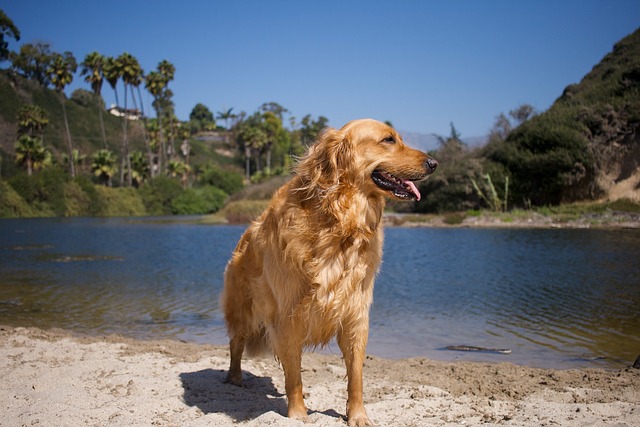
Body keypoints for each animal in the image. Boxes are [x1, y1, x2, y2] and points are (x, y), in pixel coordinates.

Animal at [220, 118, 436, 426]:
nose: (434, 163)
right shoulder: (289, 315)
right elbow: (293, 375)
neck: (341, 223)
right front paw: (297, 413)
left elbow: (355, 375)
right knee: (236, 344)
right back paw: (235, 377)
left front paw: (357, 415)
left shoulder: (355, 312)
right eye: (388, 140)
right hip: (244, 310)